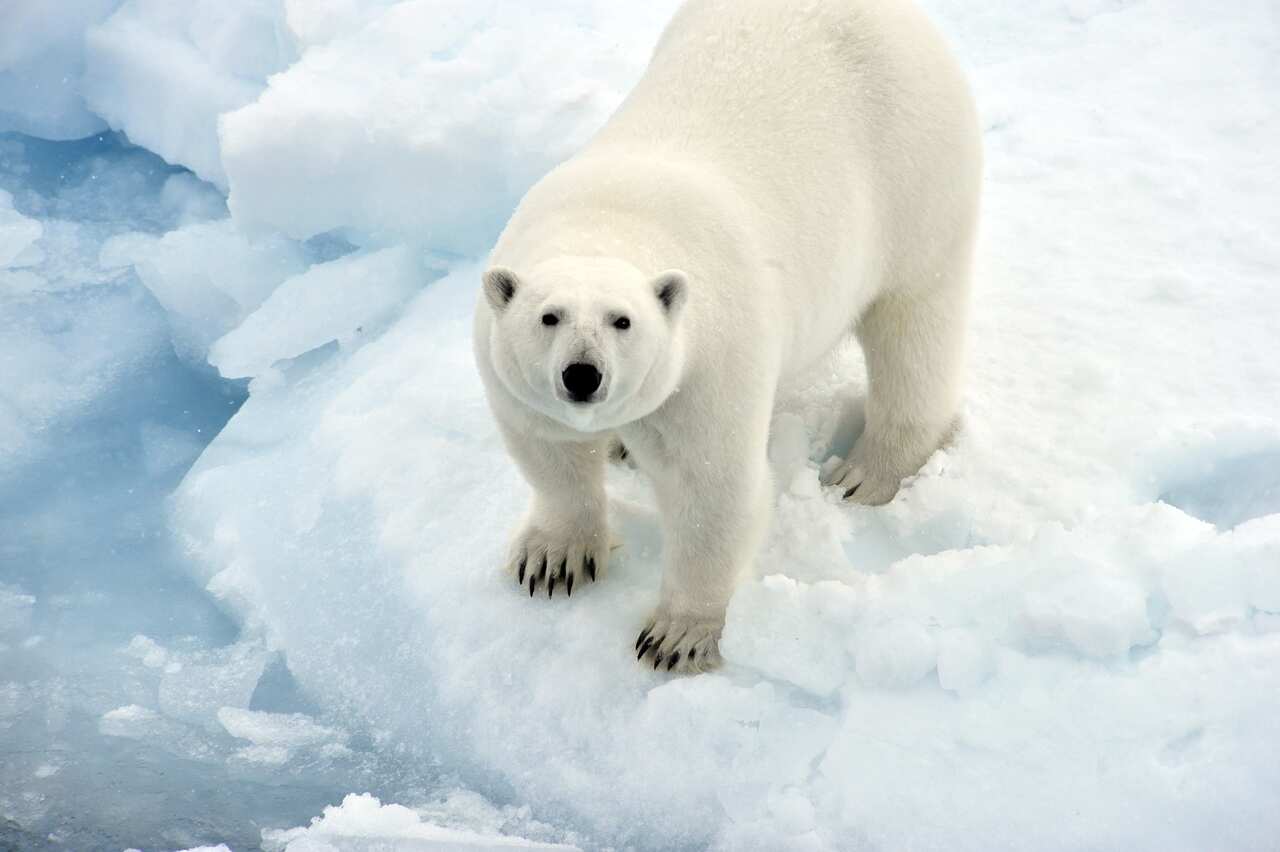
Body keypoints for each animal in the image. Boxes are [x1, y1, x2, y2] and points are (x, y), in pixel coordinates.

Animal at [473, 0, 982, 673]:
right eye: (548, 317)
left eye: (623, 320)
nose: (583, 375)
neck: (610, 220)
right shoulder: (512, 380)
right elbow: (547, 452)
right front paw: (553, 558)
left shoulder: (708, 365)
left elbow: (712, 490)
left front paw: (674, 637)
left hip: (915, 174)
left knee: (914, 329)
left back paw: (868, 471)